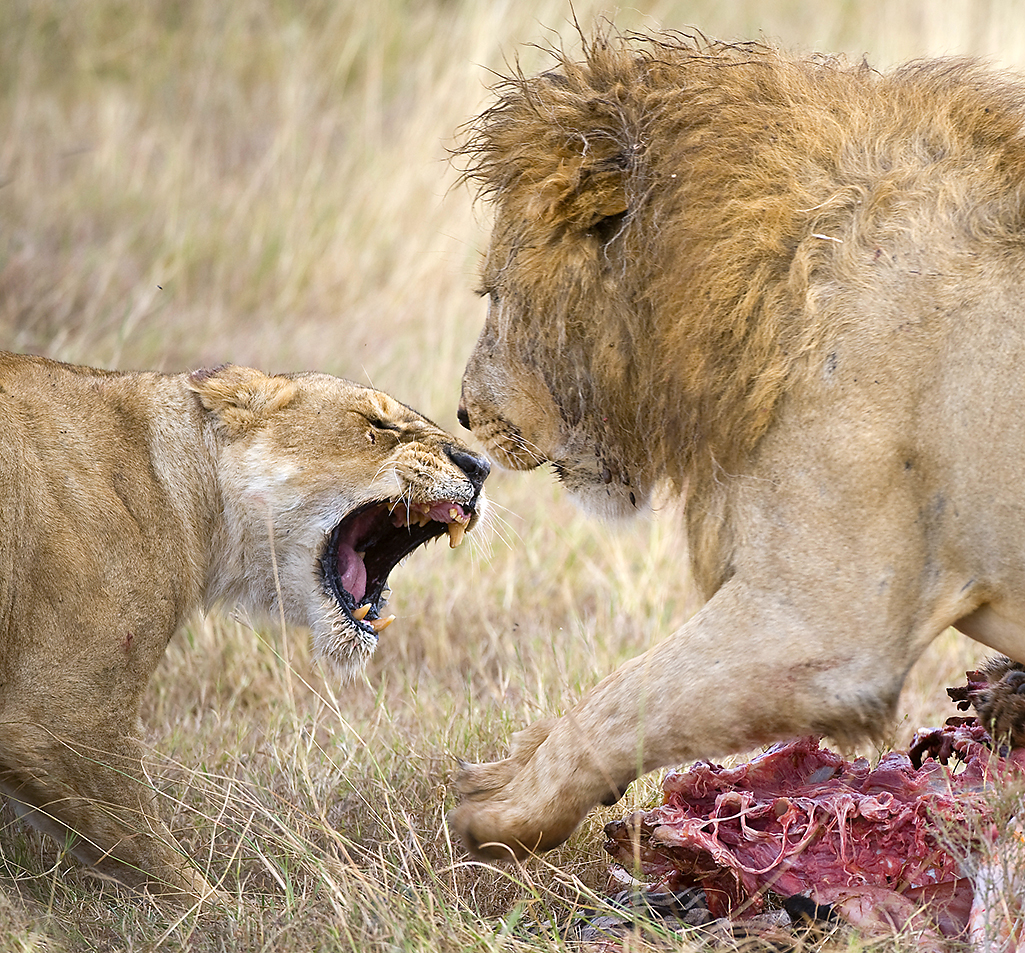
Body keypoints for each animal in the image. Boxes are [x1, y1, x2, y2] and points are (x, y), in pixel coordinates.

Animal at [451, 29, 1025, 856]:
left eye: (494, 293)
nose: (464, 414)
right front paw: (512, 763)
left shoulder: (825, 623)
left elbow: (628, 695)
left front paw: (504, 812)